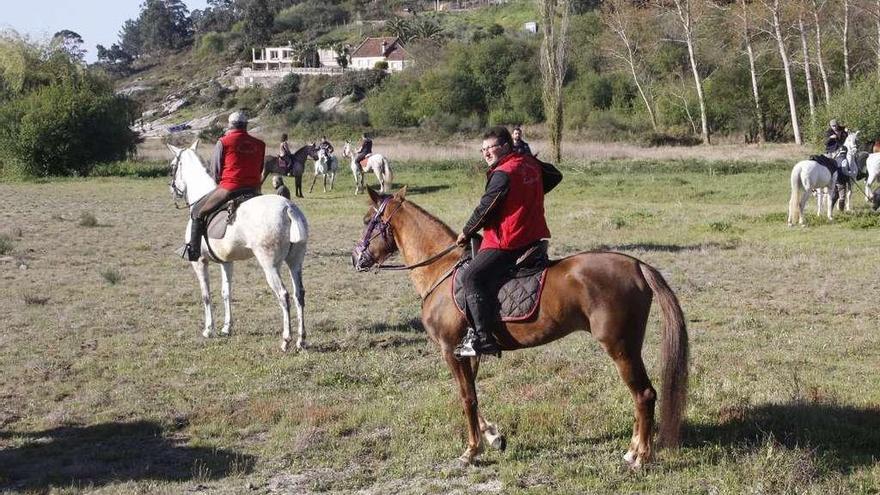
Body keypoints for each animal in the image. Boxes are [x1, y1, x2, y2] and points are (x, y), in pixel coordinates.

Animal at [168, 140, 310, 352]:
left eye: (172, 166)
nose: (172, 189)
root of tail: (288, 207)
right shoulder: (226, 262)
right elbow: (226, 293)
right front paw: (227, 327)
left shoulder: (199, 262)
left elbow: (206, 295)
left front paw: (209, 330)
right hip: (295, 262)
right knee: (298, 294)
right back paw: (301, 340)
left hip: (270, 265)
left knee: (283, 295)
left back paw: (286, 340)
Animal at [354, 186, 692, 468]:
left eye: (368, 219)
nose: (357, 258)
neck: (442, 270)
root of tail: (637, 265)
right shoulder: (469, 352)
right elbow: (473, 396)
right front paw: (492, 437)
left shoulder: (450, 350)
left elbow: (466, 398)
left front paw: (471, 451)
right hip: (628, 348)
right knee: (638, 396)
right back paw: (633, 450)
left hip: (620, 347)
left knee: (644, 395)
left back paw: (641, 457)